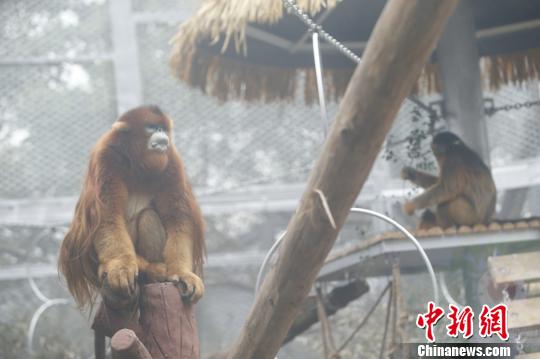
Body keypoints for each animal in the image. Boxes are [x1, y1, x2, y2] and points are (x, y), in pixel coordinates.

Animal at [58, 105, 204, 310]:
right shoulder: (106, 156)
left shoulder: (172, 160)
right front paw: (120, 267)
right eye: (152, 127)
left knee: (148, 216)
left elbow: (178, 219)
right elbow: (107, 218)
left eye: (163, 128)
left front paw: (183, 273)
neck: (136, 162)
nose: (162, 134)